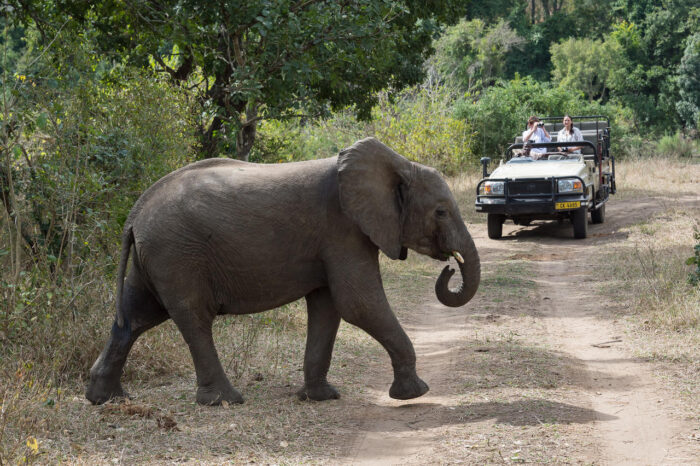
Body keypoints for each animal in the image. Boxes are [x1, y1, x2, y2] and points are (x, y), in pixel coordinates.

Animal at [86, 137, 482, 406]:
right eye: (441, 212)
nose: (450, 266)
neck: (398, 163)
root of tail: (136, 212)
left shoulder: (332, 240)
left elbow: (329, 308)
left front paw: (321, 397)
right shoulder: (343, 230)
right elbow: (359, 304)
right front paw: (414, 394)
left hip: (155, 256)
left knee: (135, 316)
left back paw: (106, 398)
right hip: (177, 253)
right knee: (193, 318)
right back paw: (226, 401)